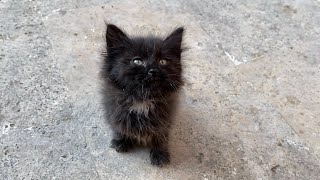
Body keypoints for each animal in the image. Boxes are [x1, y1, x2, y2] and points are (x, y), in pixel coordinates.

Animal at [101, 23, 184, 167]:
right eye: (137, 61)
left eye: (163, 61)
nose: (153, 70)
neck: (142, 99)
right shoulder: (114, 109)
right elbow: (119, 126)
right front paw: (121, 140)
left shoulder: (166, 116)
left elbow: (161, 135)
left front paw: (159, 153)